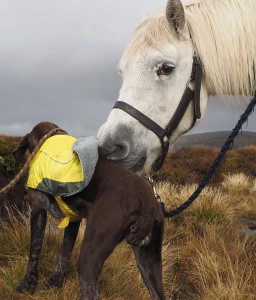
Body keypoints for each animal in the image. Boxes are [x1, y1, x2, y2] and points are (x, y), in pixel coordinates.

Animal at [12, 120, 164, 298]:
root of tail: (144, 199)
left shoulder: (37, 208)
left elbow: (34, 251)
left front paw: (27, 285)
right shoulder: (73, 219)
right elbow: (64, 252)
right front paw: (56, 281)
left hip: (89, 259)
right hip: (149, 262)